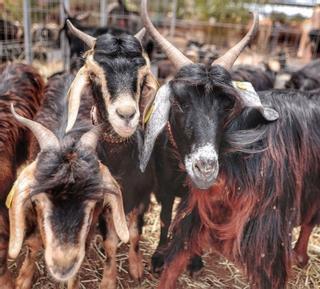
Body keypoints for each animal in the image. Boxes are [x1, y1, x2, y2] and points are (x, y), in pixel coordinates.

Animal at [60, 20, 158, 288]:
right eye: (94, 76)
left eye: (141, 77)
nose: (126, 114)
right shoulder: (105, 199)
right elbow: (111, 242)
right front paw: (108, 279)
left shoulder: (142, 195)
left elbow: (135, 233)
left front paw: (136, 268)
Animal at [140, 1, 320, 286]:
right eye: (178, 102)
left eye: (228, 105)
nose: (206, 167)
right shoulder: (176, 197)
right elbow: (169, 232)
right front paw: (160, 258)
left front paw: (194, 263)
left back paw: (299, 255)